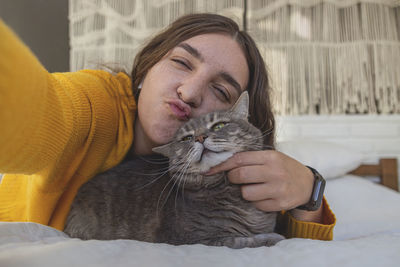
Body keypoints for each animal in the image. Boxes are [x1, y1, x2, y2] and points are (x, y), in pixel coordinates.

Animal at [64, 92, 284, 249]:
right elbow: (241, 240)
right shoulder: (192, 238)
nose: (200, 138)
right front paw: (273, 237)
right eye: (187, 138)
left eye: (219, 125)